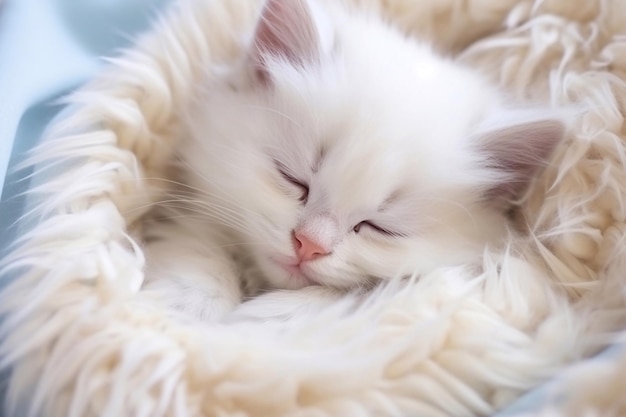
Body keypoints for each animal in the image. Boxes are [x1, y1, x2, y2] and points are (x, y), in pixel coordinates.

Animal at [144, 0, 564, 322]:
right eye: (292, 179)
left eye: (380, 227)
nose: (308, 245)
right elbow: (200, 247)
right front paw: (187, 309)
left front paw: (264, 317)